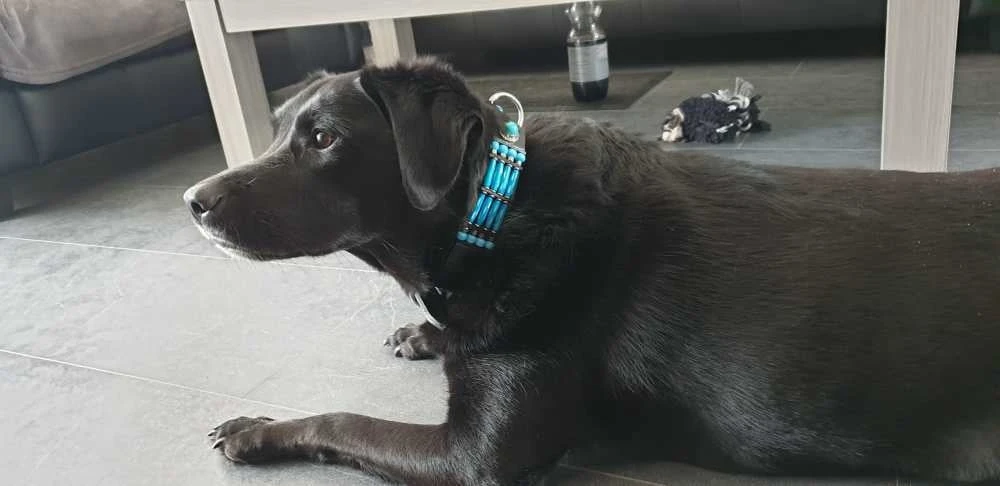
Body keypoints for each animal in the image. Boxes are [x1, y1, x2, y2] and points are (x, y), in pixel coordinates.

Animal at [183, 58, 1000, 485]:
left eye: (322, 138)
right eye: (278, 128)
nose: (193, 201)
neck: (498, 207)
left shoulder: (476, 456)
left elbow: (343, 420)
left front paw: (258, 431)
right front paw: (423, 333)